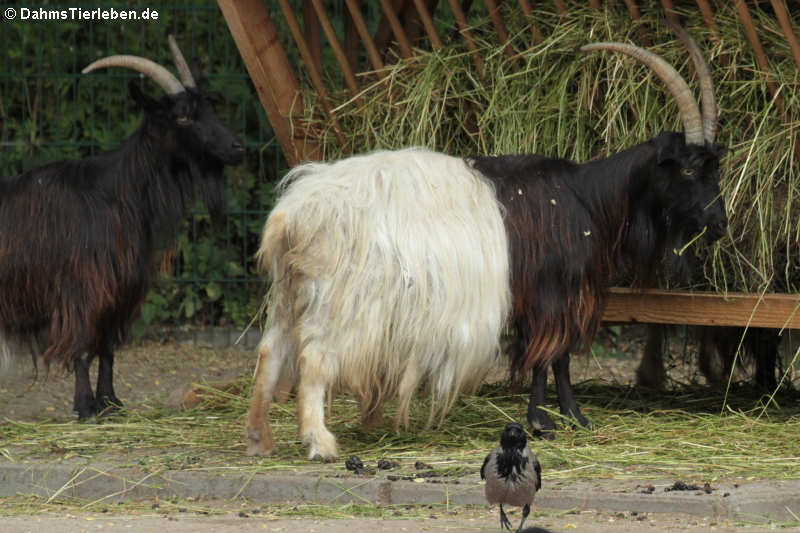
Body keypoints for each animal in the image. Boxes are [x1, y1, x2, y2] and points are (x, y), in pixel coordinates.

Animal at [0, 37, 244, 420]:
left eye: (210, 107)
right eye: (183, 116)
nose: (238, 148)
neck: (116, 193)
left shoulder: (119, 289)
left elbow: (108, 349)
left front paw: (111, 403)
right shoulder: (82, 290)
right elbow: (83, 347)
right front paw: (86, 406)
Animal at [247, 148, 510, 460]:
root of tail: (292, 218)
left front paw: (373, 420)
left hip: (289, 295)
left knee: (269, 353)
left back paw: (259, 438)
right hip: (340, 303)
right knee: (313, 361)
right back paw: (318, 441)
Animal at [472, 29, 728, 434]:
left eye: (715, 169)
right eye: (688, 169)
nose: (719, 224)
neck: (587, 197)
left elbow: (555, 357)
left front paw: (568, 416)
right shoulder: (552, 294)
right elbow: (549, 355)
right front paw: (547, 420)